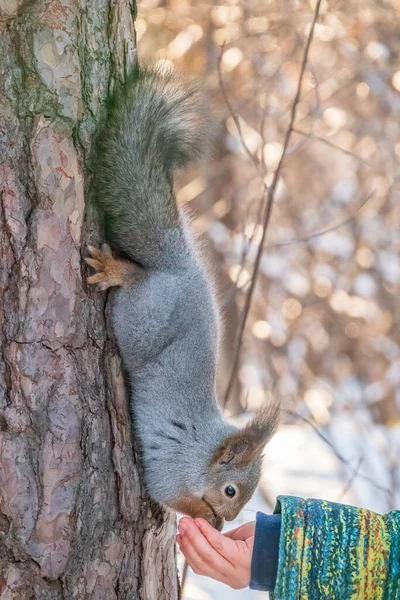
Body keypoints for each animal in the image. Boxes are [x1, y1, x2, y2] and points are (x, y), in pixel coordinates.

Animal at [86, 61, 282, 528]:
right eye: (231, 491)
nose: (229, 521)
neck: (204, 453)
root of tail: (179, 268)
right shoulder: (172, 466)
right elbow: (169, 493)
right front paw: (205, 519)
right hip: (142, 319)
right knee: (135, 282)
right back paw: (117, 270)